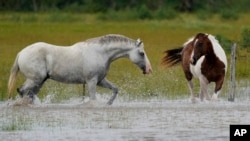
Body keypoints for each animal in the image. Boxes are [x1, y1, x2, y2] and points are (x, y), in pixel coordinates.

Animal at [7, 34, 152, 104]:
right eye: (142, 53)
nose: (149, 70)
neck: (100, 53)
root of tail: (21, 52)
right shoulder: (91, 81)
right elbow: (93, 99)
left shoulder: (100, 81)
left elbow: (115, 89)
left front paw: (108, 103)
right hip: (35, 79)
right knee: (22, 91)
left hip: (39, 81)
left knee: (28, 93)